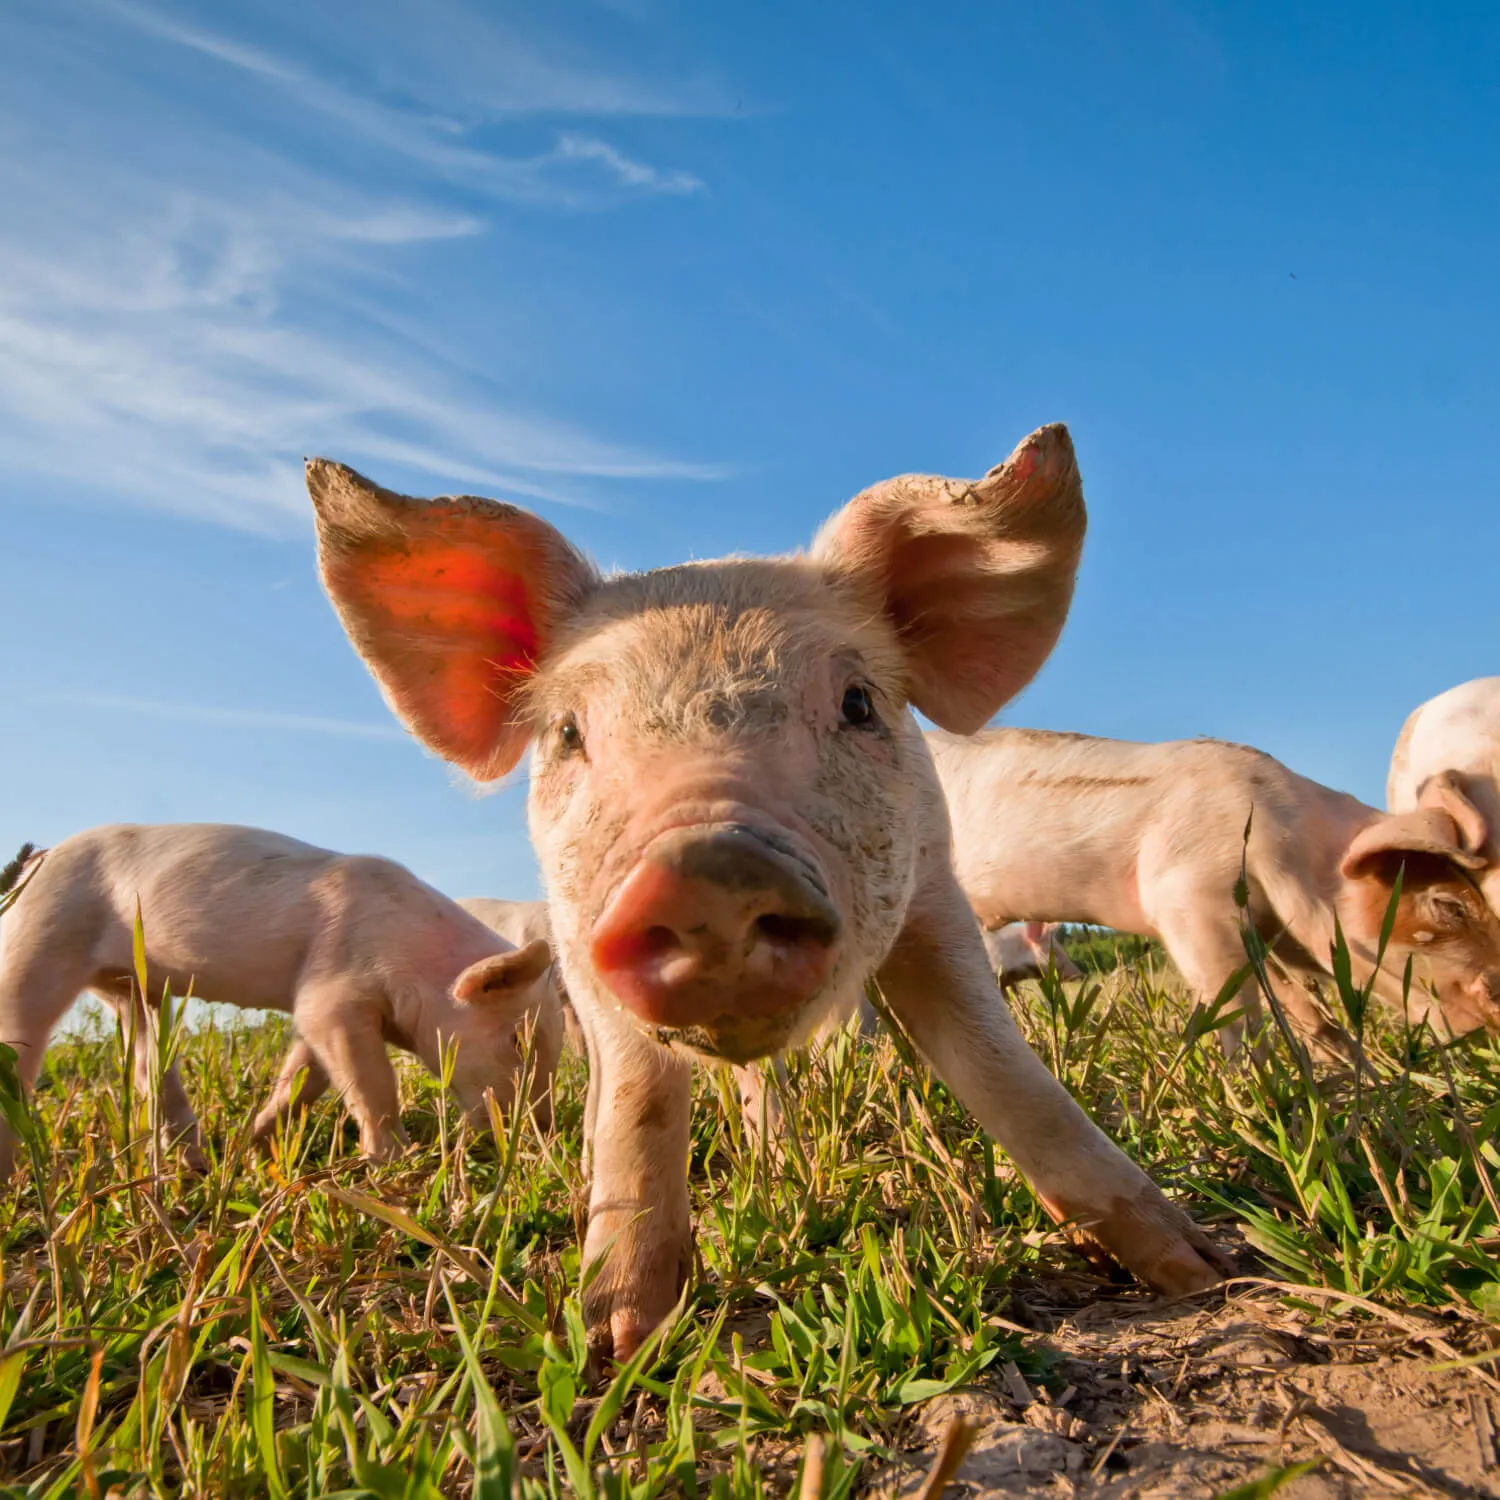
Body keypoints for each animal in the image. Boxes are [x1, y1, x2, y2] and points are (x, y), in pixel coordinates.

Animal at [0, 823, 554, 1177]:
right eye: (517, 1040)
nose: (544, 1132)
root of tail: (37, 860)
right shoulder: (332, 991)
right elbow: (372, 1081)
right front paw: (394, 1161)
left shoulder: (318, 1009)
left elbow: (306, 1077)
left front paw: (255, 1146)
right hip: (43, 932)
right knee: (22, 1032)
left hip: (132, 988)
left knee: (147, 1060)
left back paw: (198, 1164)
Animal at [306, 422, 1227, 1360]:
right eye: (568, 732)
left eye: (858, 702)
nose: (705, 867)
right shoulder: (578, 937)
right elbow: (638, 1098)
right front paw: (620, 1339)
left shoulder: (934, 891)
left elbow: (1000, 1065)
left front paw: (1198, 1271)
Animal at [931, 728, 1500, 1050]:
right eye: (1448, 905)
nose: (1495, 1003)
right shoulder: (1186, 897)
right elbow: (1235, 1009)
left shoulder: (1260, 927)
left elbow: (1301, 1007)